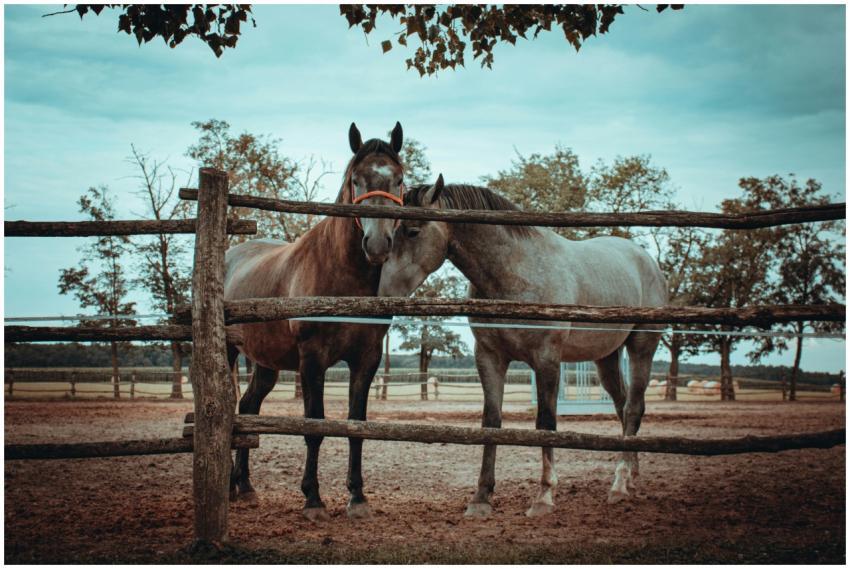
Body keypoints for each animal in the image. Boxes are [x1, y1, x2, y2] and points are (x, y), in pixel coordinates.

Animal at [225, 122, 407, 522]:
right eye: (356, 180)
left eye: (399, 180)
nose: (377, 244)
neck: (341, 274)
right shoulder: (313, 360)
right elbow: (314, 426)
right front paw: (313, 500)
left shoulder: (366, 359)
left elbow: (356, 425)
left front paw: (357, 498)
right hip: (228, 353)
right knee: (230, 406)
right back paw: (232, 484)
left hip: (265, 364)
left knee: (248, 406)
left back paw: (245, 487)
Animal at [379, 178, 668, 517]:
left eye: (413, 231)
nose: (383, 290)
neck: (515, 272)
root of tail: (646, 259)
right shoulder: (489, 357)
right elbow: (491, 421)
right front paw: (481, 498)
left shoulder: (547, 360)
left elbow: (545, 421)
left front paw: (544, 496)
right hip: (606, 358)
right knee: (623, 407)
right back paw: (631, 476)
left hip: (641, 347)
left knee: (633, 407)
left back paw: (619, 484)